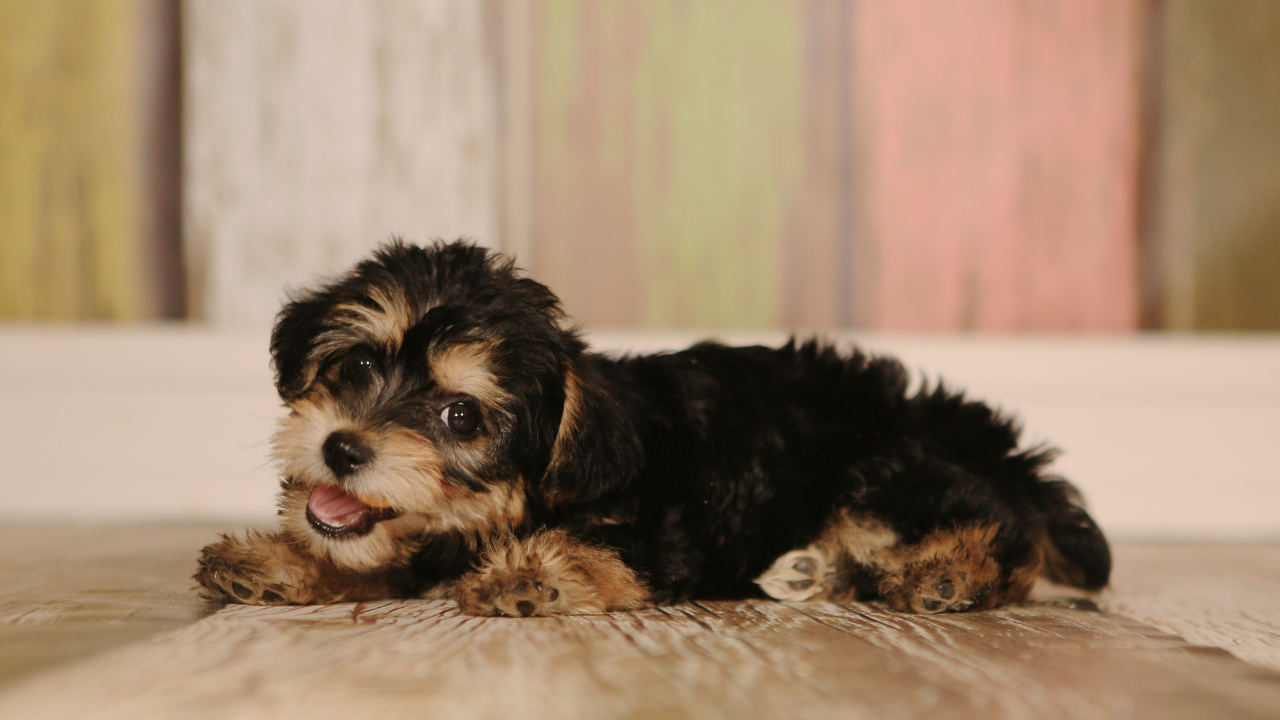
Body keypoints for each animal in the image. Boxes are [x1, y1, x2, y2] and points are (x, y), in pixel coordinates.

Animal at [192, 238, 1111, 614]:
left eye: (459, 414)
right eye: (353, 370)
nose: (343, 447)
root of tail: (989, 440)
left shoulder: (664, 534)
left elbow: (605, 553)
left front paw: (533, 575)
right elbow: (370, 558)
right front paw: (278, 563)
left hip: (885, 467)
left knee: (1002, 537)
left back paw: (944, 575)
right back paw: (817, 571)